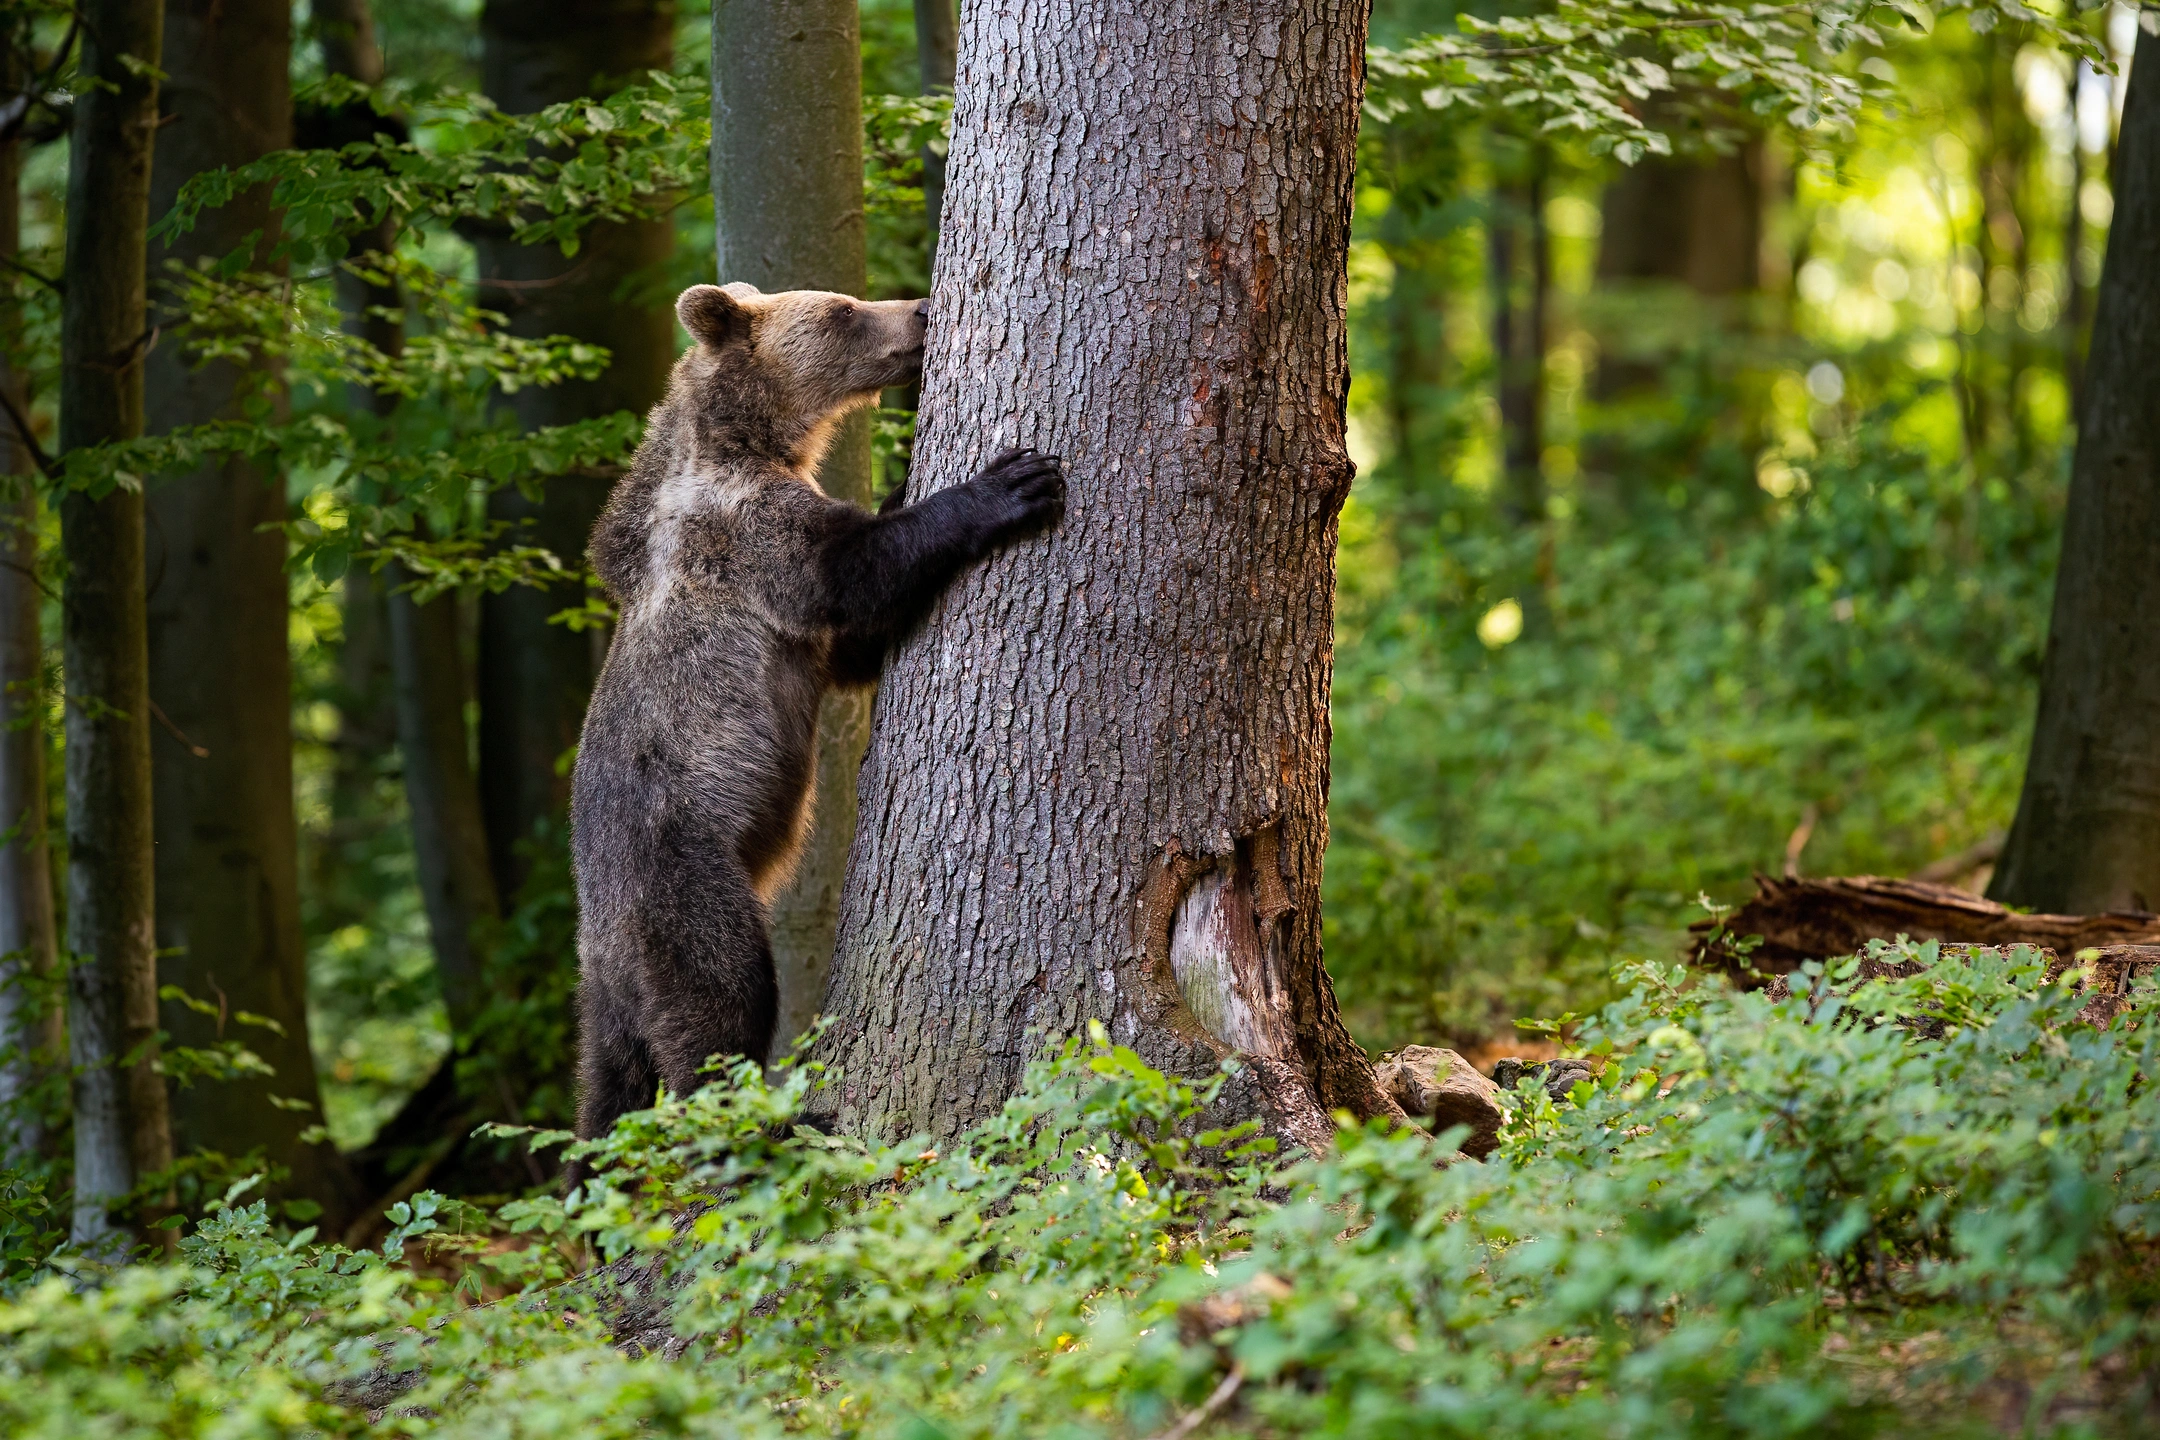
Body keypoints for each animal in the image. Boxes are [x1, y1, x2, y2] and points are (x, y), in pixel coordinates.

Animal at [561, 284, 1058, 1157]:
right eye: (841, 310)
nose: (921, 308)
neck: (751, 441)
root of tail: (603, 944)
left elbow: (859, 644)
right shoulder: (746, 535)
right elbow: (851, 574)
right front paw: (1010, 482)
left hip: (610, 995)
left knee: (609, 1095)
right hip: (683, 882)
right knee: (722, 1003)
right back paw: (774, 1124)